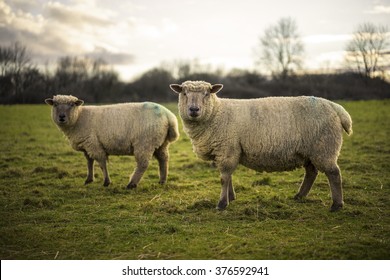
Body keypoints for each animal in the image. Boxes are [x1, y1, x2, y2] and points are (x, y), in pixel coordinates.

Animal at [45, 95, 180, 189]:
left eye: (72, 104)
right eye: (55, 104)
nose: (61, 117)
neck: (79, 117)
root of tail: (169, 116)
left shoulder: (93, 144)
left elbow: (101, 163)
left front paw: (106, 182)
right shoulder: (87, 146)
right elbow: (89, 162)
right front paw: (89, 179)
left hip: (145, 142)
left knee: (143, 164)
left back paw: (132, 184)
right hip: (161, 142)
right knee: (163, 159)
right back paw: (162, 180)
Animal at [169, 81, 352, 212]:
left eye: (207, 93)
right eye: (184, 93)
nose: (194, 109)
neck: (216, 113)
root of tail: (336, 107)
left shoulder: (227, 149)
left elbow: (224, 178)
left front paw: (222, 203)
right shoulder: (229, 151)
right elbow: (229, 177)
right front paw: (231, 197)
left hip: (324, 147)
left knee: (334, 173)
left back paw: (336, 205)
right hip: (309, 150)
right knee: (311, 172)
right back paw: (299, 196)